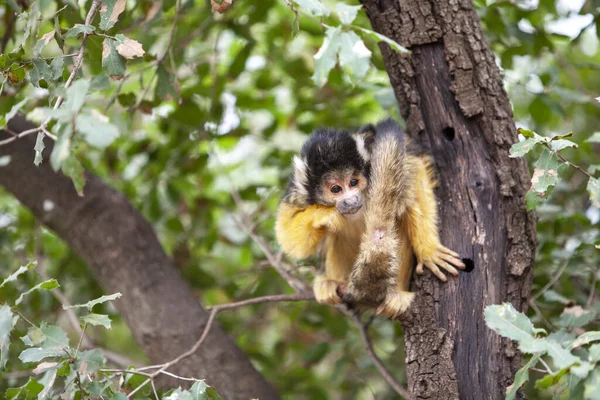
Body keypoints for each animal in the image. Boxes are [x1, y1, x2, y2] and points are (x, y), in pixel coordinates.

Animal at [274, 117, 466, 318]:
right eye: (336, 189)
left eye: (353, 182)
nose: (351, 200)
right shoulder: (300, 190)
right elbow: (288, 237)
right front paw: (326, 215)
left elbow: (415, 171)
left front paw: (429, 250)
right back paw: (334, 283)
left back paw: (396, 293)